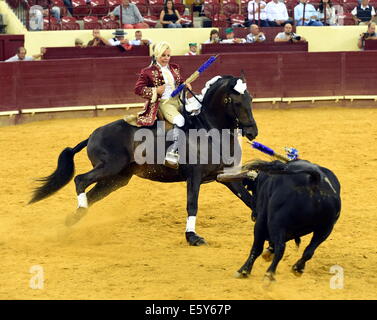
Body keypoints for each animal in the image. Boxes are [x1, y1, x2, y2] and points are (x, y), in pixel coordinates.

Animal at [30, 75, 258, 245]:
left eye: (251, 100)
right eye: (237, 102)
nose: (252, 132)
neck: (209, 129)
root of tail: (93, 135)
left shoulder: (225, 176)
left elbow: (248, 199)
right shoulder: (194, 176)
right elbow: (192, 204)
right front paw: (192, 237)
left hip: (116, 179)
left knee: (92, 193)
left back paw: (73, 219)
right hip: (109, 168)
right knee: (80, 180)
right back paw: (79, 211)